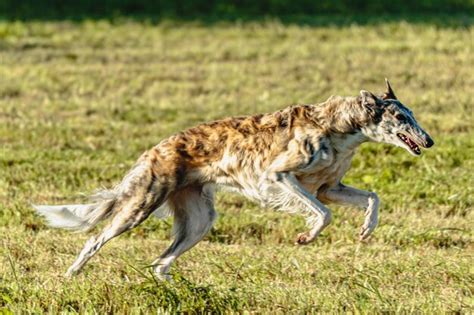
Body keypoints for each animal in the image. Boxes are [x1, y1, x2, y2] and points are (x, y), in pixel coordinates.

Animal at [34, 80, 434, 280]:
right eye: (400, 116)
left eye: (411, 113)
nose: (429, 141)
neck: (337, 127)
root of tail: (155, 149)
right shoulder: (279, 176)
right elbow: (322, 214)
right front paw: (306, 237)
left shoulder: (328, 187)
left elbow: (372, 197)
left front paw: (367, 229)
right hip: (140, 206)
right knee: (94, 240)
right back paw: (70, 275)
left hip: (198, 220)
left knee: (162, 262)